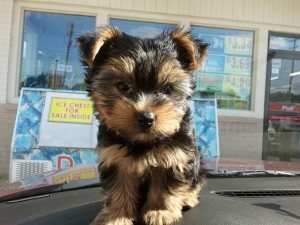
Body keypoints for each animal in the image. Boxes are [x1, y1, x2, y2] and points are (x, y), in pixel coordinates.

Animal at [78, 25, 207, 225]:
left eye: (167, 89)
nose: (146, 117)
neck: (142, 141)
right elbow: (119, 188)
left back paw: (188, 198)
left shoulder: (175, 155)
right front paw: (116, 216)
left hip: (198, 167)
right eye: (122, 86)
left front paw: (159, 210)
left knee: (195, 182)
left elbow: (165, 186)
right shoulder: (115, 158)